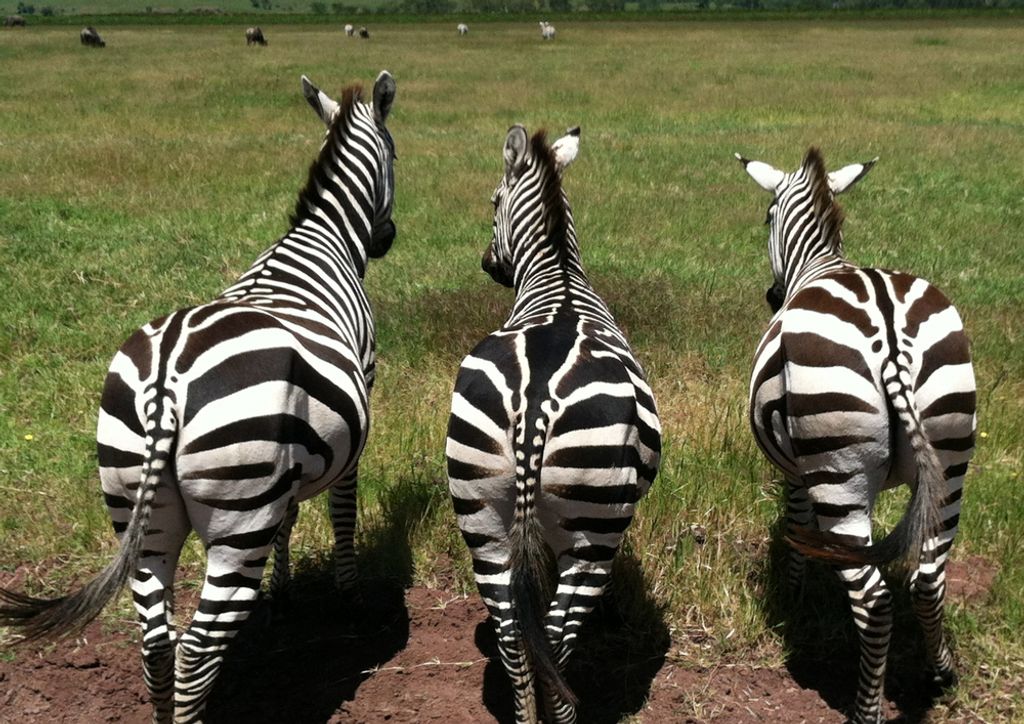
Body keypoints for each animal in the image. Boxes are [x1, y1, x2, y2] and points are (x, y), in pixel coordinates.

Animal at [0, 71, 397, 724]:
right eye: (396, 157)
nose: (386, 239)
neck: (322, 242)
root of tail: (167, 380)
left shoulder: (288, 462)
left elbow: (290, 519)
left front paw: (284, 596)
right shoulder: (356, 408)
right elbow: (344, 512)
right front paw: (350, 598)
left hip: (140, 510)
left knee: (157, 642)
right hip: (237, 518)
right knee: (197, 646)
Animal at [446, 126, 661, 723]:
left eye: (492, 201)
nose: (487, 264)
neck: (558, 277)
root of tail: (534, 397)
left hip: (480, 511)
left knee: (515, 633)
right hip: (594, 531)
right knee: (557, 636)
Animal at [737, 147, 976, 724]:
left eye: (766, 217)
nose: (772, 296)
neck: (818, 264)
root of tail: (891, 337)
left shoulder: (797, 471)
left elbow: (797, 525)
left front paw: (794, 596)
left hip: (836, 474)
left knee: (873, 601)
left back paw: (866, 710)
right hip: (951, 458)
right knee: (929, 578)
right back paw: (940, 672)